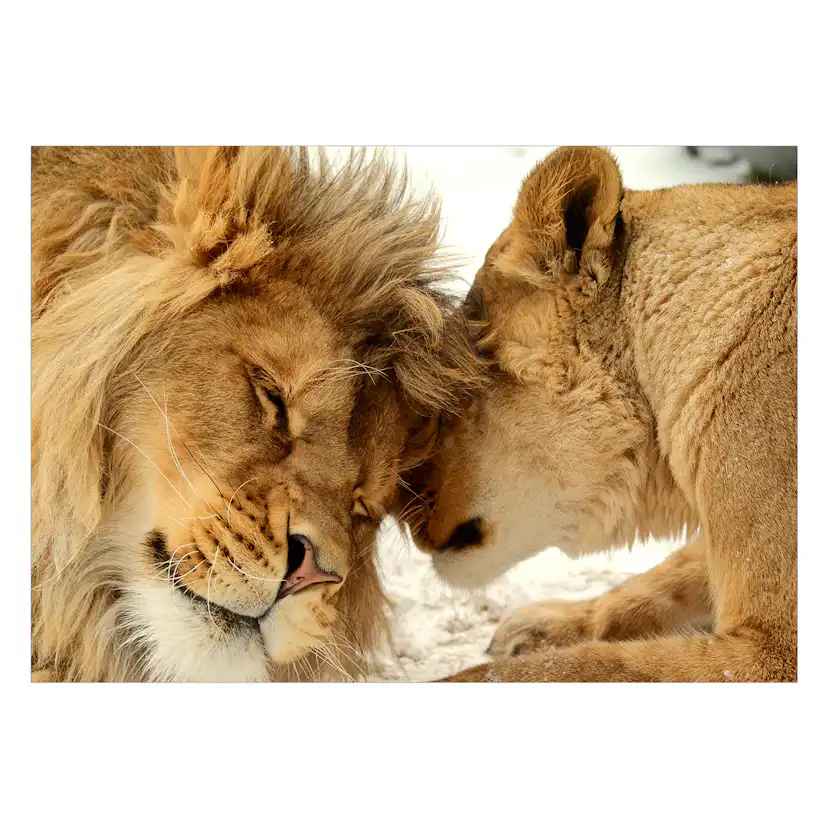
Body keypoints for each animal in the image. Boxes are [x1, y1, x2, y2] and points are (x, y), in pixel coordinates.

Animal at [403, 146, 797, 682]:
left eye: (451, 394)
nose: (396, 505)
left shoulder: (773, 652)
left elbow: (579, 666)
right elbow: (661, 579)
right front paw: (541, 626)